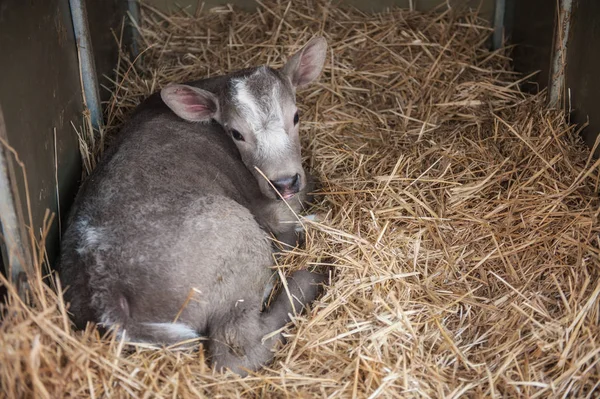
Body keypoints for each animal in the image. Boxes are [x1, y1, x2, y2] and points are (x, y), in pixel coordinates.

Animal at [58, 36, 328, 376]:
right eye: (236, 133)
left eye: (296, 116)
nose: (285, 182)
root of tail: (108, 295)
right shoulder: (275, 210)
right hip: (237, 236)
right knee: (235, 350)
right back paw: (310, 277)